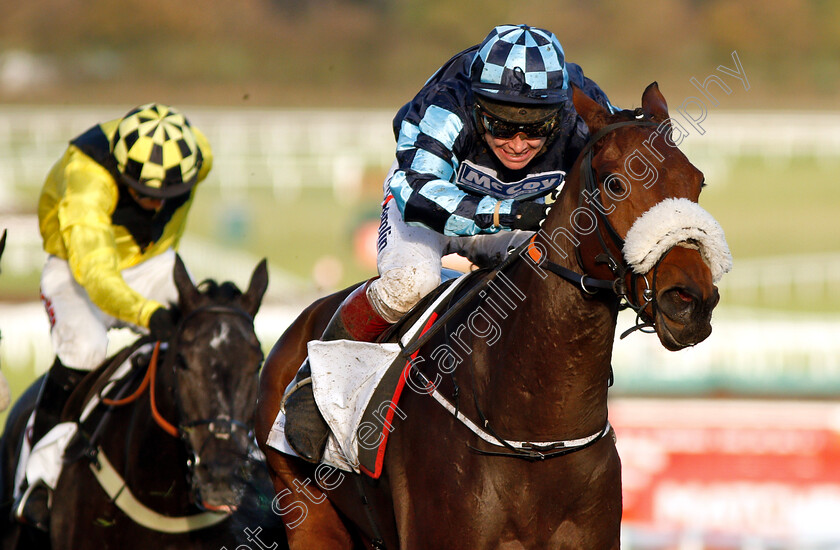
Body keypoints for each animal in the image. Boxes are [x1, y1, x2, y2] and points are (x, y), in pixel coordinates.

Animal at [254, 83, 728, 550]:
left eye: (698, 181)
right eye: (614, 183)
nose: (689, 300)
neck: (538, 434)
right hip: (308, 511)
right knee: (404, 283)